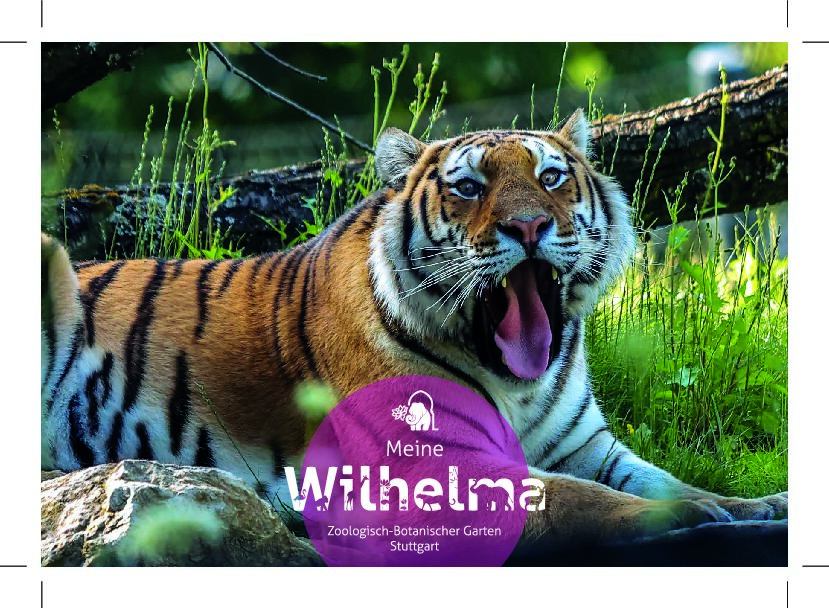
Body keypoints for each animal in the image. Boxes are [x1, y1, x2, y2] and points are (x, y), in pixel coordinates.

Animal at [41, 109, 787, 556]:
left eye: (550, 177)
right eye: (468, 187)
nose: (528, 226)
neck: (518, 380)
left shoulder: (585, 446)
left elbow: (660, 479)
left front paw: (753, 504)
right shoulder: (432, 467)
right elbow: (577, 497)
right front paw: (690, 520)